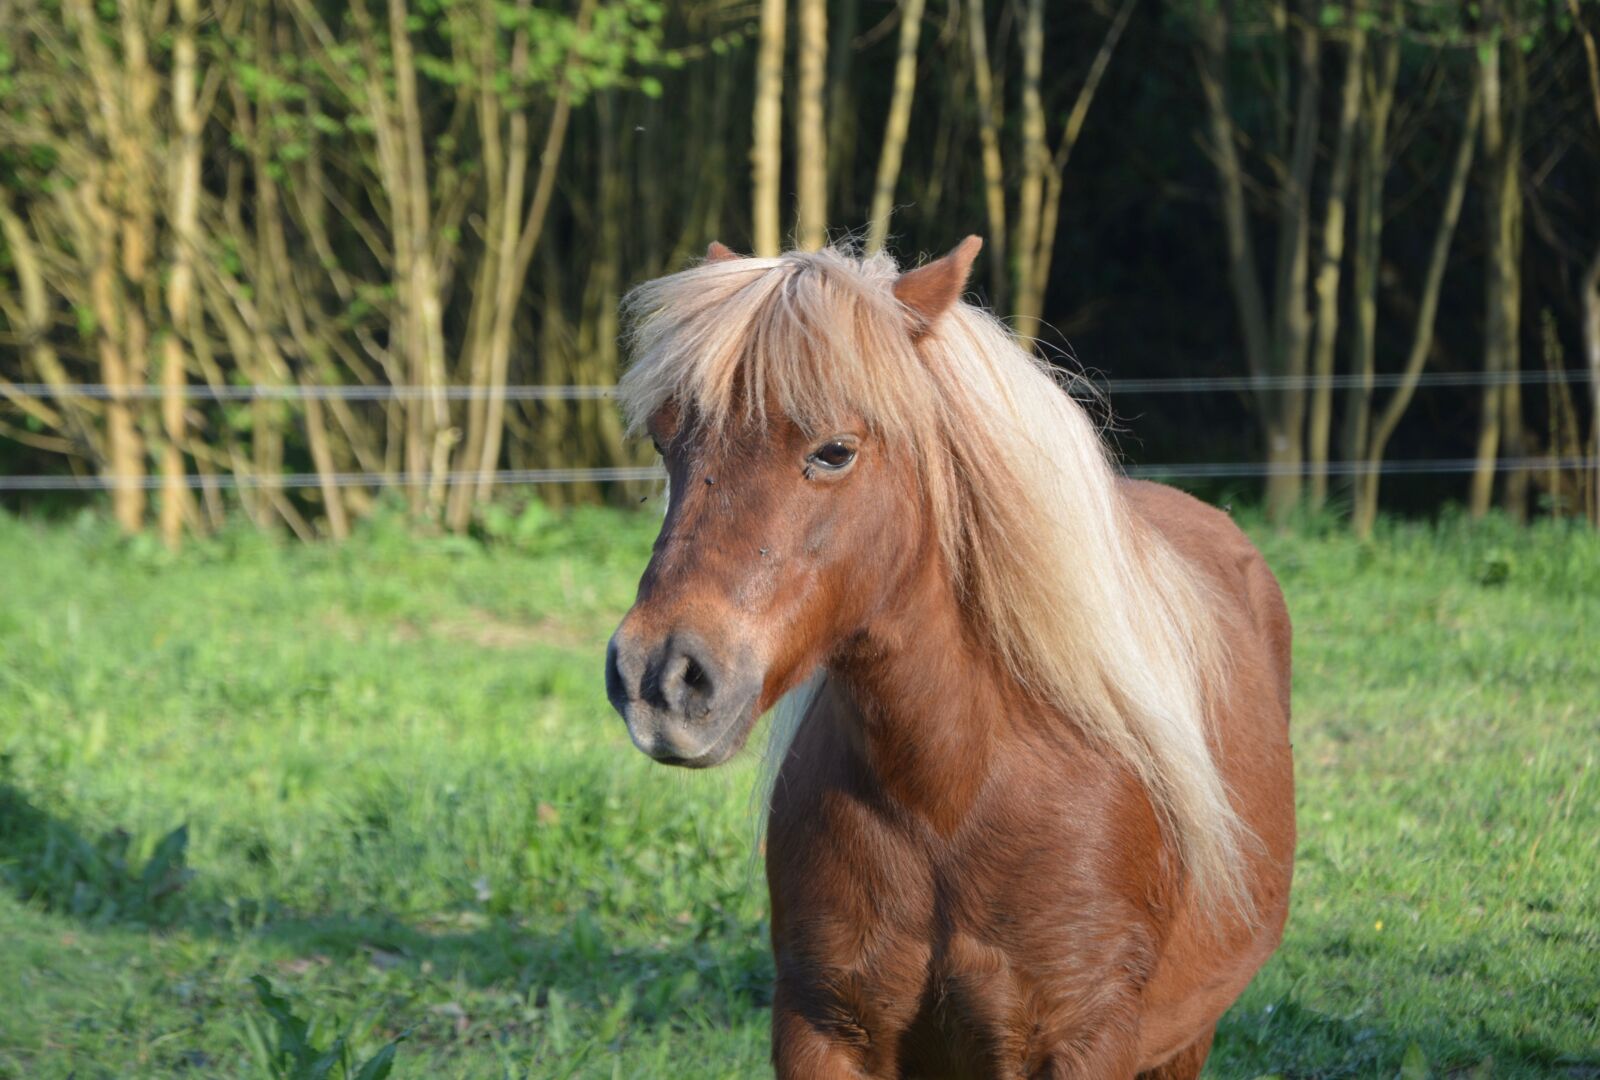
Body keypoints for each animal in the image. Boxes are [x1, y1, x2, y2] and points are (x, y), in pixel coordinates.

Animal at [604, 237, 1295, 1079]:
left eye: (835, 451)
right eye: (665, 440)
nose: (659, 678)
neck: (950, 794)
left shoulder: (1084, 1040)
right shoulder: (819, 1028)